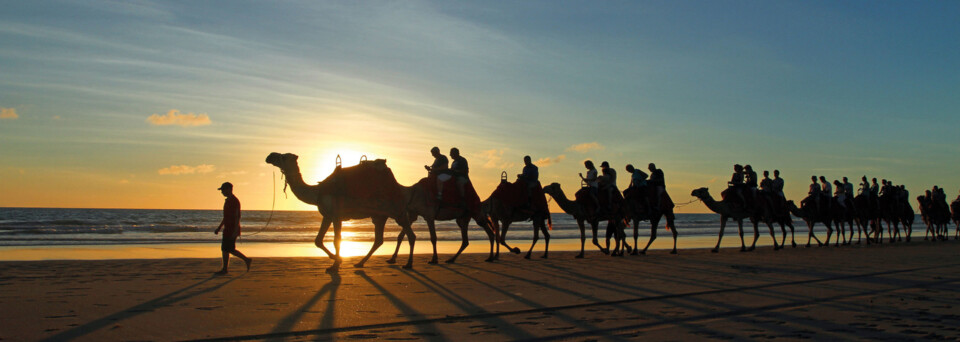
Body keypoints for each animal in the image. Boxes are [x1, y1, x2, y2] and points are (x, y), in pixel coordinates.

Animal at [264, 152, 414, 270]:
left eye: (283, 156)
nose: (270, 156)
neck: (317, 192)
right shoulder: (327, 216)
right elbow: (318, 240)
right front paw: (337, 260)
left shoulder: (337, 215)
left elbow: (337, 240)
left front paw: (335, 264)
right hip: (379, 215)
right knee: (379, 240)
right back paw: (360, 263)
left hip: (397, 211)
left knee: (410, 235)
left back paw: (408, 264)